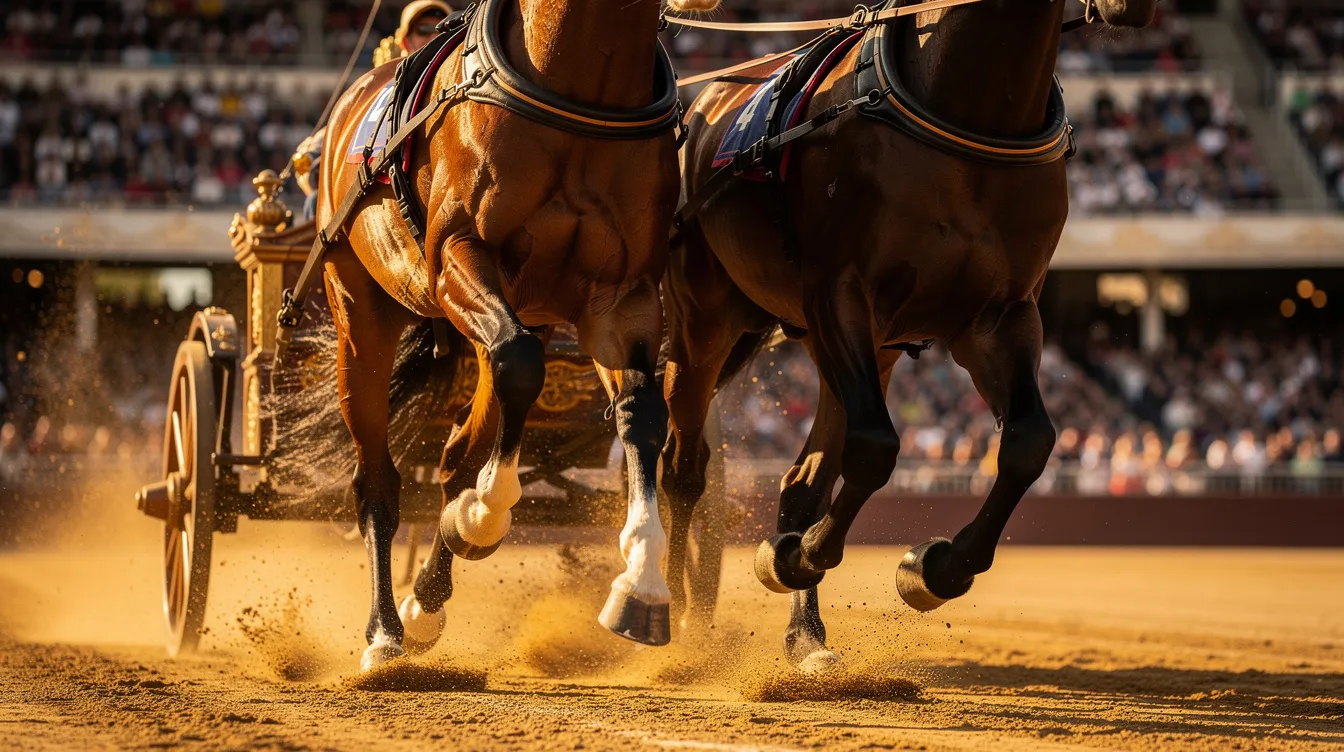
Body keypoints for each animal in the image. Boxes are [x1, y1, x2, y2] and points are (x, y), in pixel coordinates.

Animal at [317, 0, 717, 671]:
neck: (582, 96)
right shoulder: (457, 255)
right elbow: (522, 362)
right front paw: (485, 513)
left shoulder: (621, 299)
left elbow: (641, 413)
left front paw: (642, 585)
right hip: (361, 312)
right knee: (378, 478)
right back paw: (385, 631)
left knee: (458, 454)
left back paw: (428, 596)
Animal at [660, 0, 1156, 668]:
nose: (1131, 7)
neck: (967, 114)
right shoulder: (840, 296)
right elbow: (876, 448)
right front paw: (801, 553)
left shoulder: (1000, 318)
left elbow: (1029, 443)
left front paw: (937, 567)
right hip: (704, 324)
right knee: (681, 468)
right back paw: (672, 610)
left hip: (862, 351)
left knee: (803, 483)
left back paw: (805, 633)